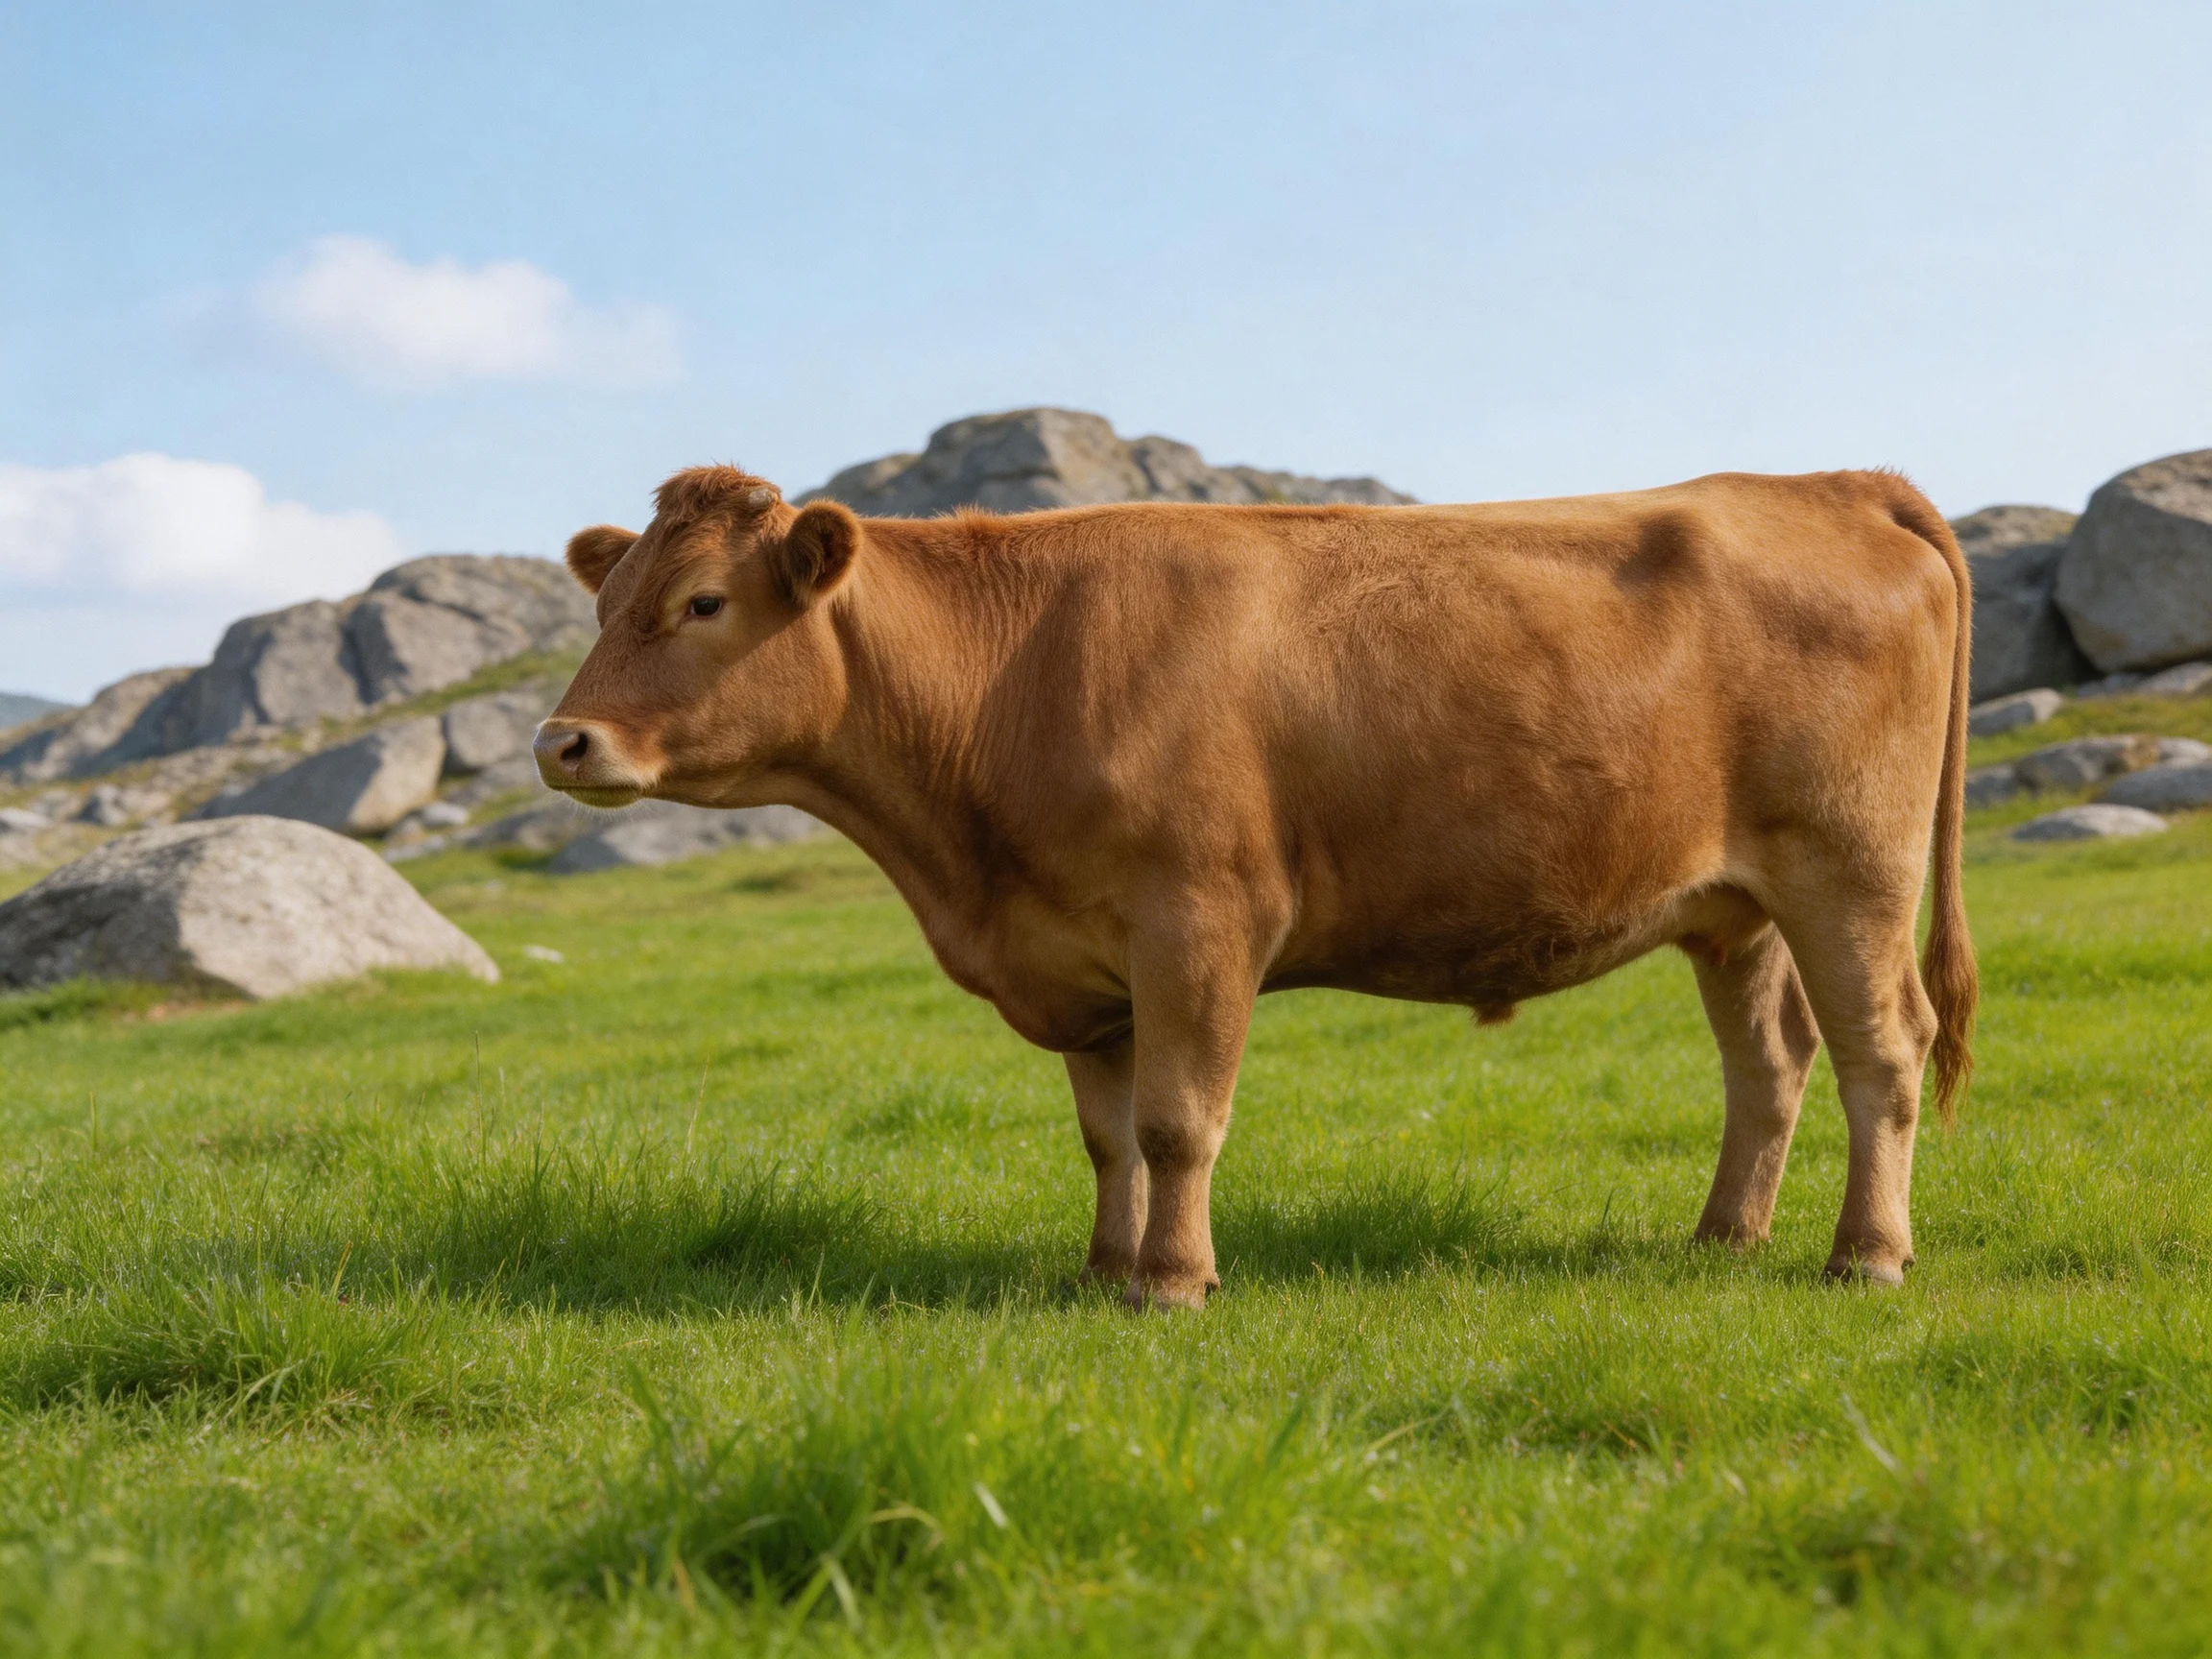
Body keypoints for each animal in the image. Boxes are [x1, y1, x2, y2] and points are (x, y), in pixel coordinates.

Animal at [535, 465, 1976, 1308]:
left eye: (704, 602)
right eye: (605, 603)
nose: (563, 742)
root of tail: (1831, 482)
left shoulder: (1198, 923)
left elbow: (1180, 1124)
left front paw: (1173, 1283)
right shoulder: (1085, 959)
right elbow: (1109, 1134)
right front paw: (1102, 1269)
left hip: (1850, 867)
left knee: (1884, 1049)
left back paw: (1867, 1255)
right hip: (1736, 907)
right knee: (1772, 1062)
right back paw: (1724, 1238)